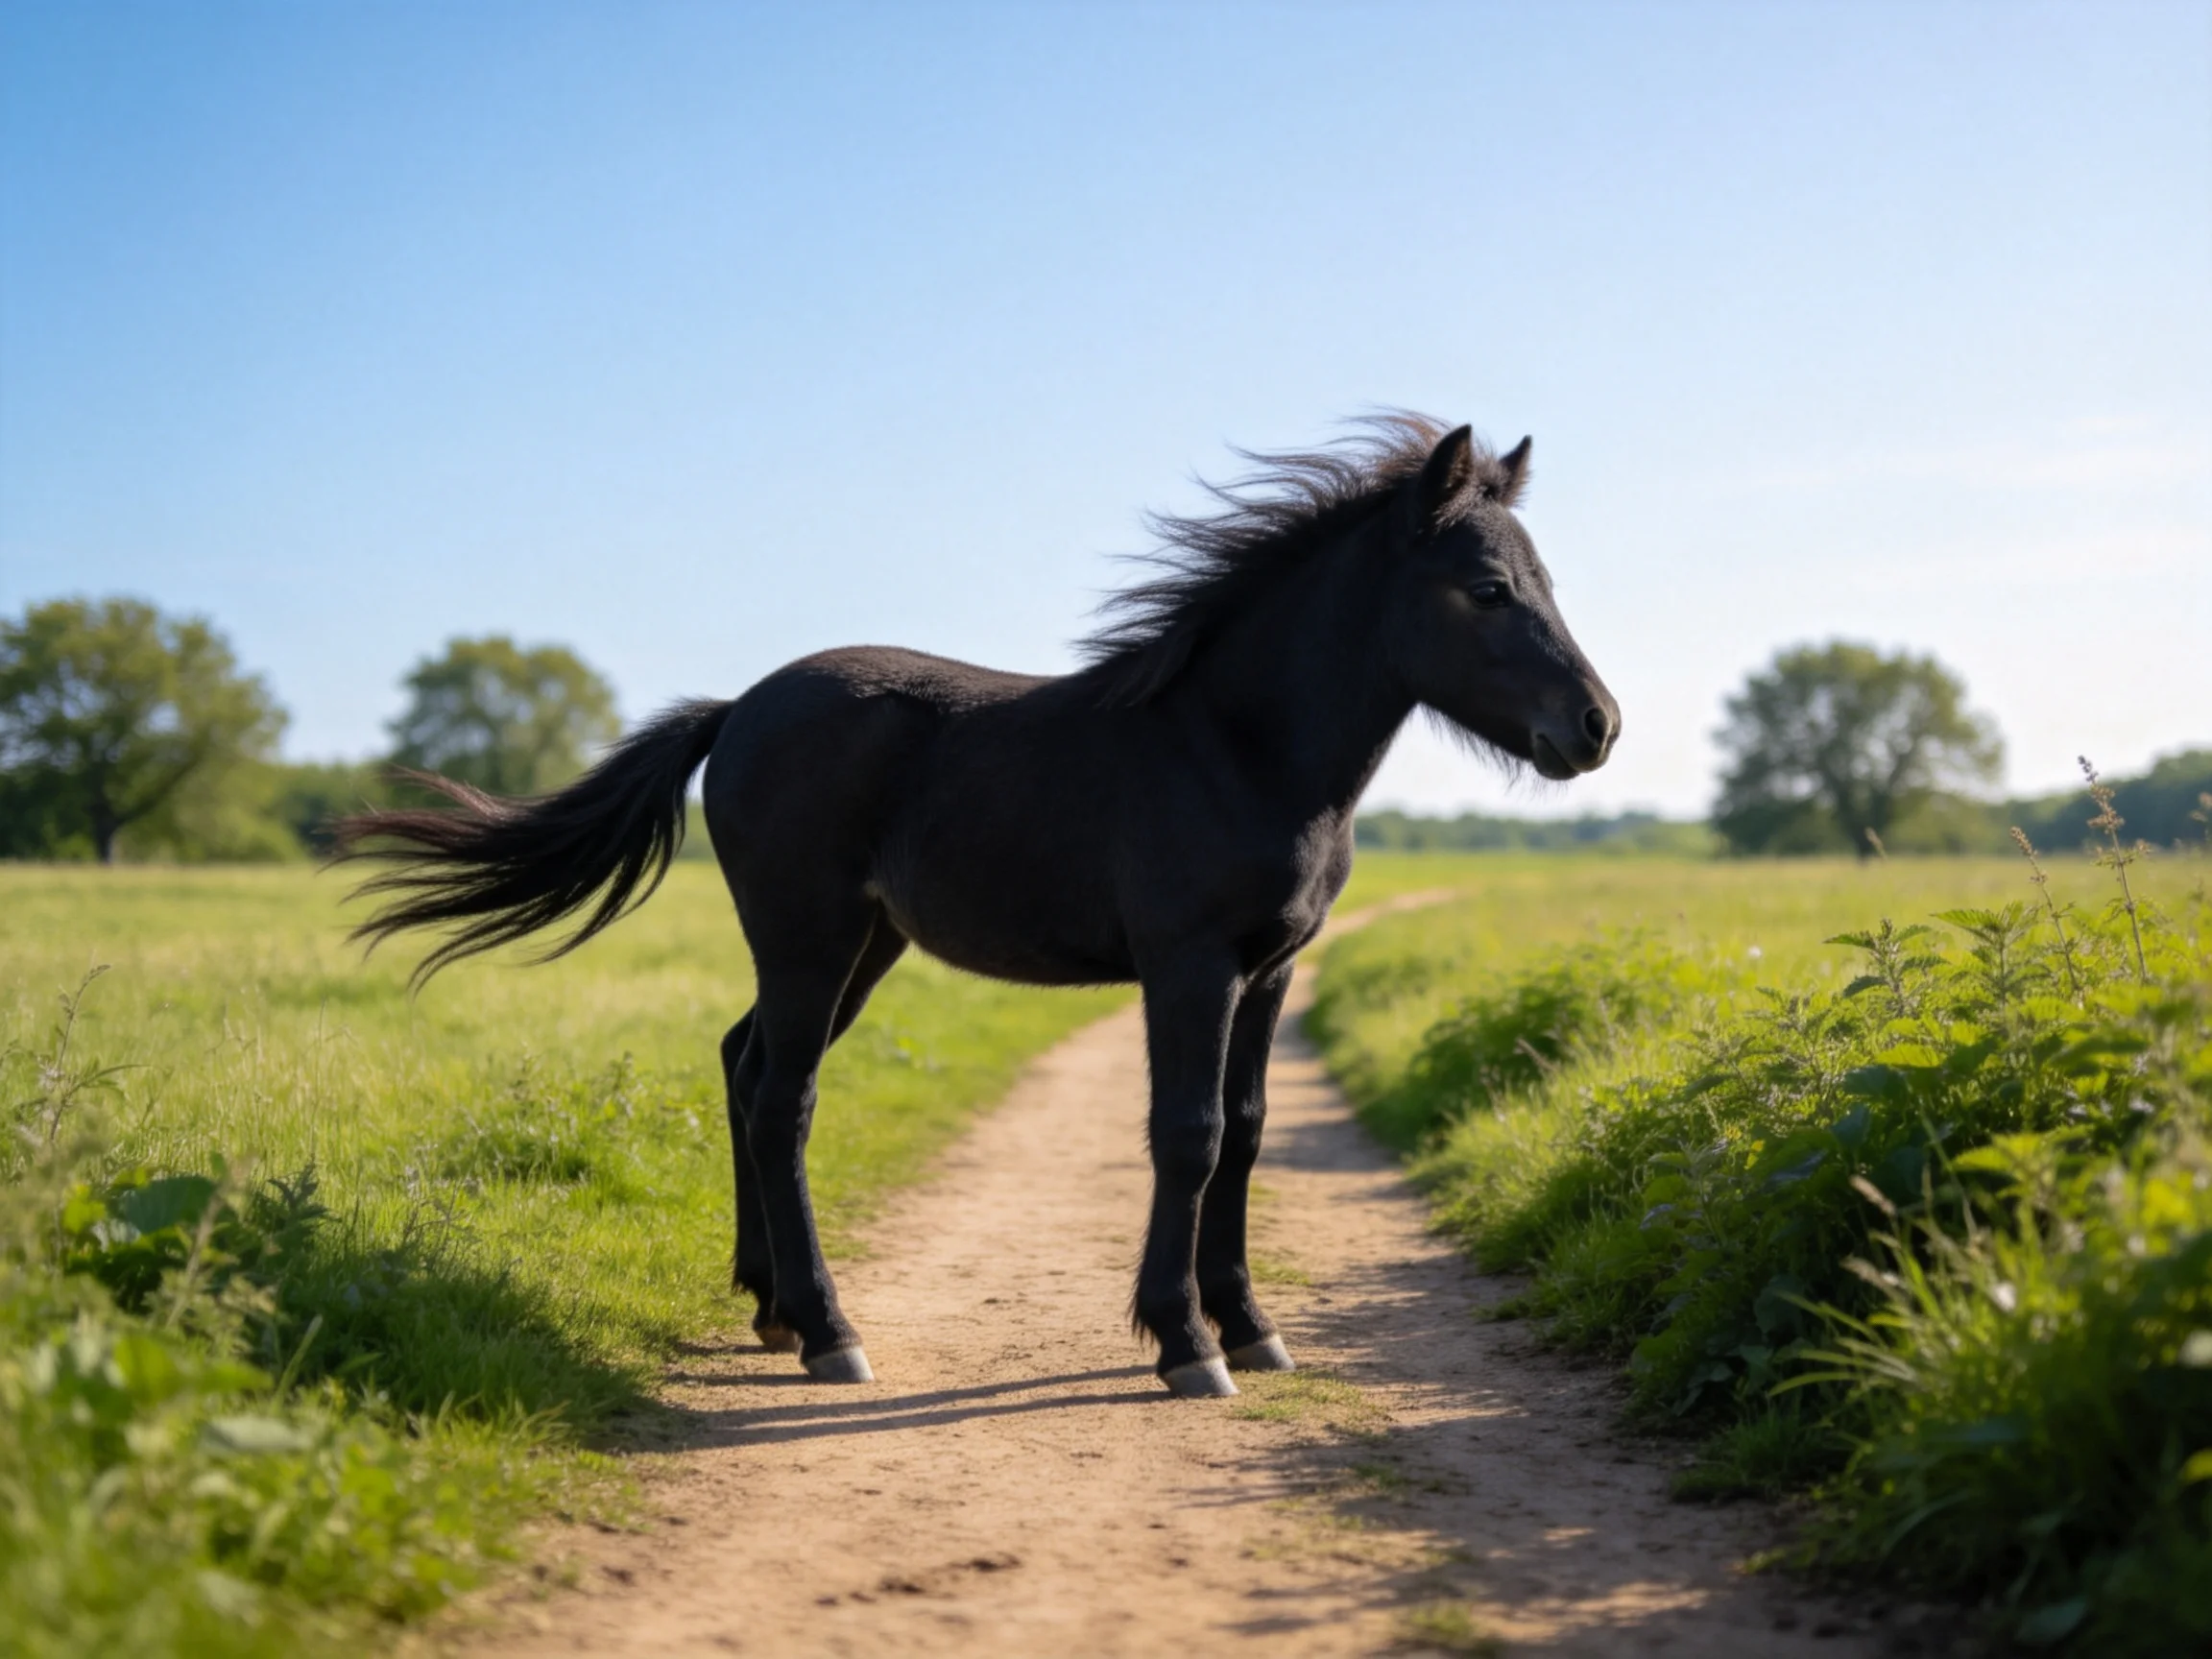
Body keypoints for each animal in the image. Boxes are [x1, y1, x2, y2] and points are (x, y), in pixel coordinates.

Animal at [333, 414, 1619, 1397]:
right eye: (1486, 588)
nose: (1597, 726)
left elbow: (1249, 1132)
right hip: (809, 938)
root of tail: (739, 708)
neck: (1234, 749)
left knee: (744, 1065)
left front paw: (1253, 1327)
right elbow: (1188, 1134)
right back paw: (832, 1333)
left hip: (865, 947)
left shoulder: (1272, 970)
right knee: (784, 1099)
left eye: (1550, 582)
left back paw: (772, 1309)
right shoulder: (1189, 966)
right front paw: (1186, 1346)